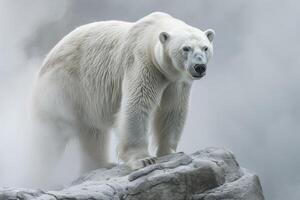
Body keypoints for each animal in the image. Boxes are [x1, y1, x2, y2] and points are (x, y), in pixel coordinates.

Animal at [30, 11, 216, 176]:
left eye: (205, 48)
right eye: (186, 48)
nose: (199, 67)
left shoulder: (176, 81)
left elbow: (172, 110)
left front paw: (169, 152)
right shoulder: (142, 64)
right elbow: (137, 103)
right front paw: (144, 159)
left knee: (93, 132)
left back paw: (101, 164)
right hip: (62, 87)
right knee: (50, 137)